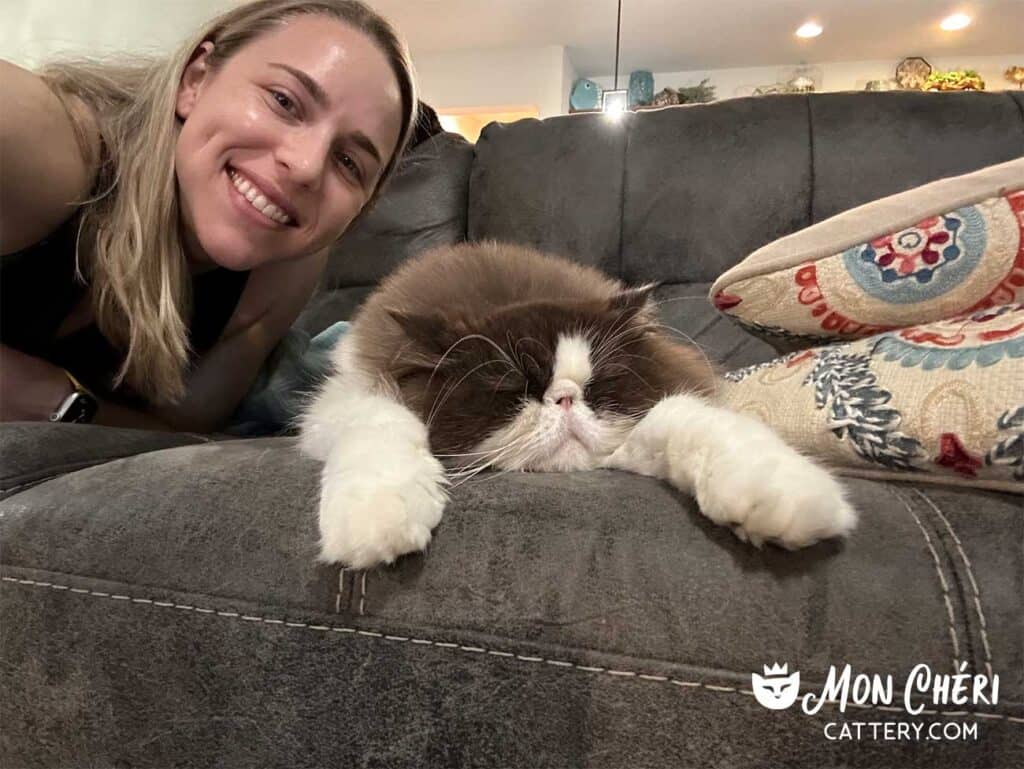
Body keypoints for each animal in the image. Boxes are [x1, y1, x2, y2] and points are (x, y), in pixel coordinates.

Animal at [299, 241, 856, 573]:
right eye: (513, 390)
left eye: (597, 388)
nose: (564, 399)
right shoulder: (350, 400)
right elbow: (384, 427)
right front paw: (375, 522)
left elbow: (697, 425)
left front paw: (785, 501)